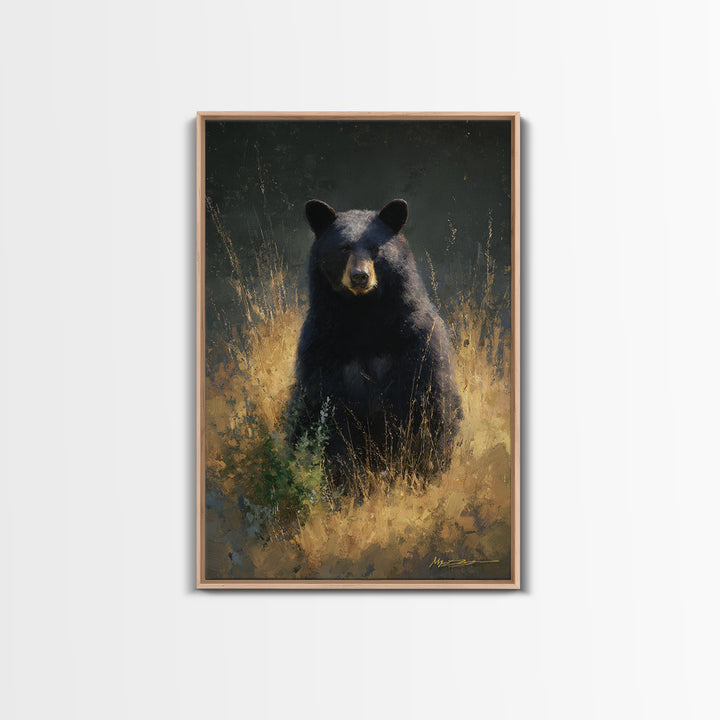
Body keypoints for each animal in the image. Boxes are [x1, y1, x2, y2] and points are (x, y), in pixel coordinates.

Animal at [289, 198, 462, 489]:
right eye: (344, 247)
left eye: (375, 248)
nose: (360, 276)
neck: (364, 314)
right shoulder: (321, 345)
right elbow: (329, 412)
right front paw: (348, 480)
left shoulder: (415, 338)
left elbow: (426, 401)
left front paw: (416, 474)